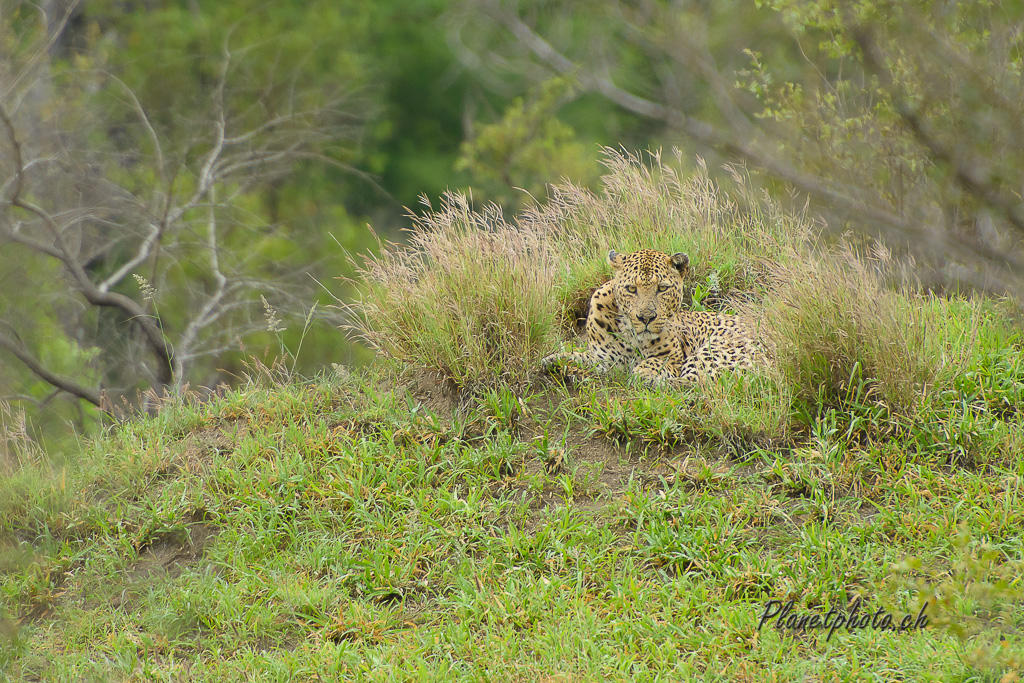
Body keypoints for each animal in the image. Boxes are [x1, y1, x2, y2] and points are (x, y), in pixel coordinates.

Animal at [544, 248, 761, 385]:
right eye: (631, 289)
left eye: (662, 288)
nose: (646, 318)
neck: (631, 337)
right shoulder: (603, 359)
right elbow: (578, 356)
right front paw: (554, 359)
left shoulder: (674, 359)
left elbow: (655, 362)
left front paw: (644, 373)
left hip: (714, 351)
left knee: (693, 385)